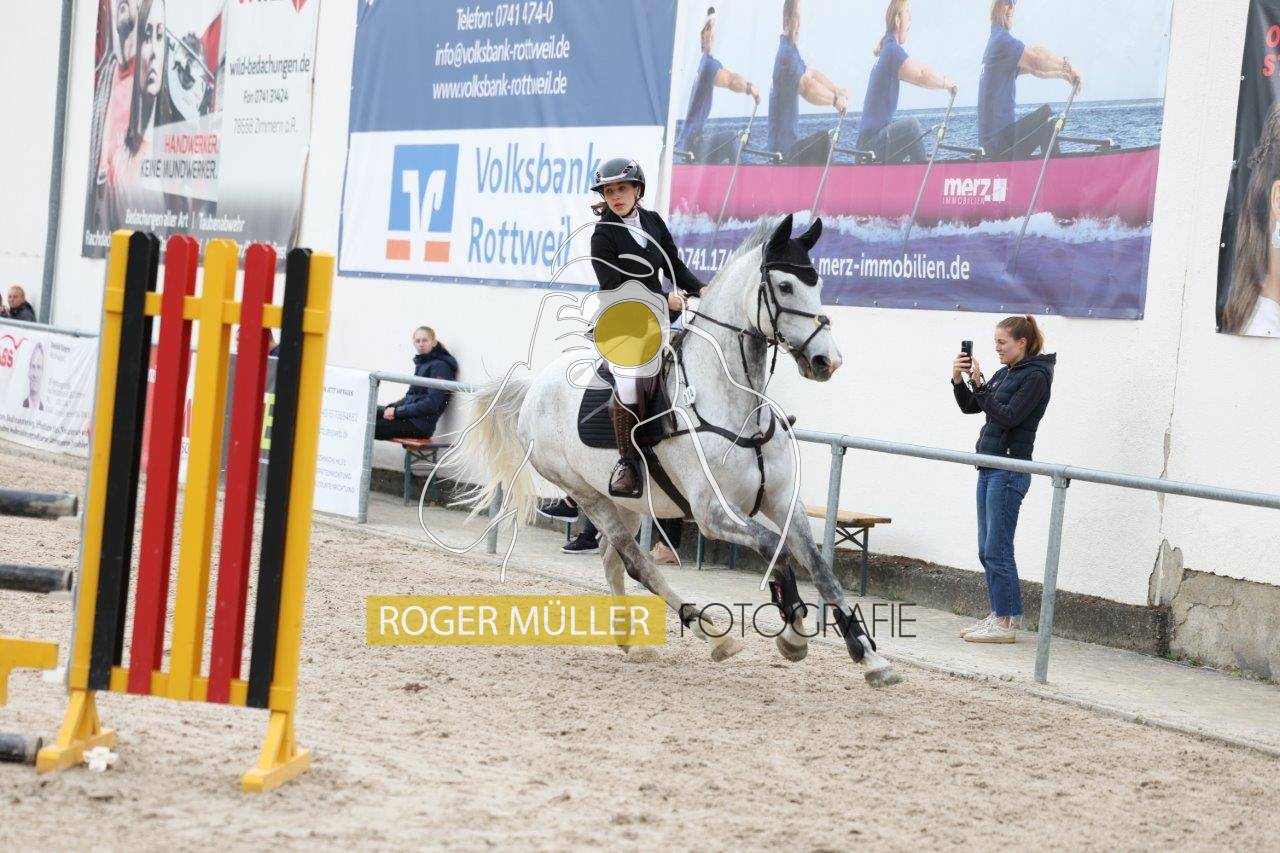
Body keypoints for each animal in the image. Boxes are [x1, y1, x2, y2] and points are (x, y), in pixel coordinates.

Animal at [461, 214, 901, 687]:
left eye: (817, 283)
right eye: (784, 287)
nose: (826, 361)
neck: (736, 404)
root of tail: (534, 387)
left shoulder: (784, 501)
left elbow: (820, 568)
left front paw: (870, 657)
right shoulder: (713, 513)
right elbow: (776, 551)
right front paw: (794, 636)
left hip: (630, 502)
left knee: (612, 560)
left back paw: (631, 641)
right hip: (588, 495)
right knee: (636, 563)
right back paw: (713, 635)